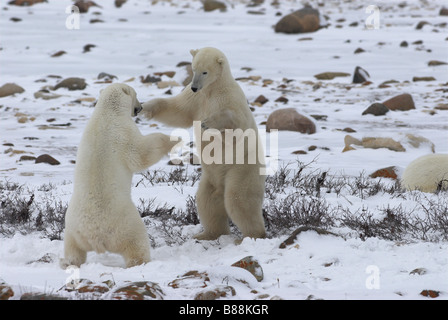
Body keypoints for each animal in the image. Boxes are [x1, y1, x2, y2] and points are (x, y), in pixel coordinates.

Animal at [60, 84, 178, 268]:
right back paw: (140, 262)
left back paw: (68, 262)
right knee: (137, 242)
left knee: (73, 249)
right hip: (126, 223)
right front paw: (174, 138)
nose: (140, 107)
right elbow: (140, 154)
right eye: (136, 95)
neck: (106, 112)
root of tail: (96, 237)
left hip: (73, 229)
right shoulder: (124, 131)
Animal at [143, 46, 266, 239]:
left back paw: (253, 235)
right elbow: (177, 110)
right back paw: (207, 234)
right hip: (211, 177)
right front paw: (146, 108)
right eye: (193, 69)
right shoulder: (196, 99)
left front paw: (208, 123)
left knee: (239, 200)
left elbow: (236, 123)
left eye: (205, 72)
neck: (212, 89)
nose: (194, 86)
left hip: (242, 168)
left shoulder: (230, 98)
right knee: (207, 200)